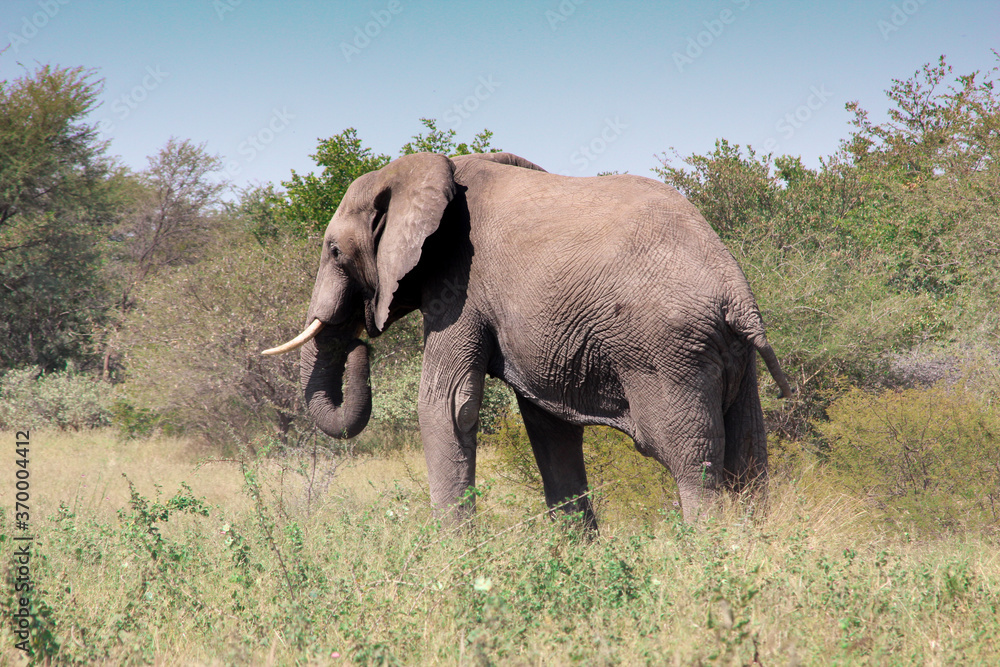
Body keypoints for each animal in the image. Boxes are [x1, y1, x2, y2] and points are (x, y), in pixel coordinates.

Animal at [263, 151, 791, 526]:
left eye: (334, 251)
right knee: (749, 454)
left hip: (667, 353)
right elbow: (547, 423)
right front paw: (578, 558)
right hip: (728, 353)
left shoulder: (460, 284)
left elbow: (447, 404)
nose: (360, 345)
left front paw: (456, 564)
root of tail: (736, 291)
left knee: (690, 459)